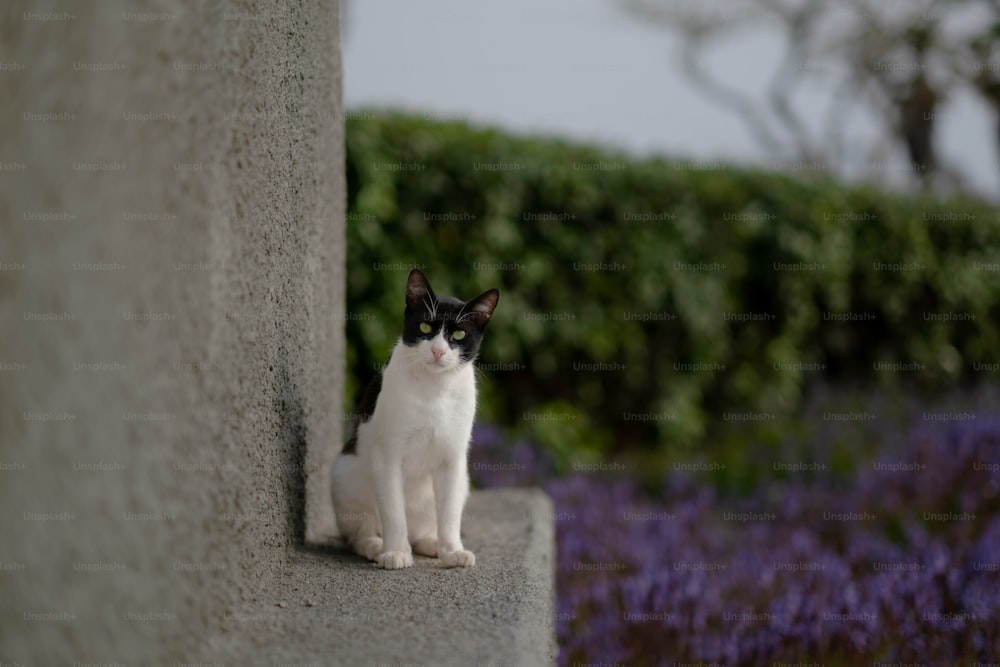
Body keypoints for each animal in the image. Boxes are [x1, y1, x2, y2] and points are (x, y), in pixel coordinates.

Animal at [330, 268, 498, 572]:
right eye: (425, 328)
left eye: (459, 333)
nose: (438, 351)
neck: (434, 388)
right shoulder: (388, 454)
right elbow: (393, 510)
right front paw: (395, 553)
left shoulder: (453, 458)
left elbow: (450, 513)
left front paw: (452, 550)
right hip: (344, 473)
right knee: (359, 532)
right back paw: (376, 546)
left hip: (461, 482)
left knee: (427, 526)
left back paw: (433, 544)